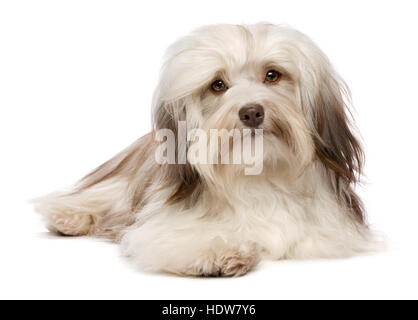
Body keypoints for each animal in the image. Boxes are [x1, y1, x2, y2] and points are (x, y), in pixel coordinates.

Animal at [34, 23, 378, 276]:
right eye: (217, 85)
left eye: (272, 75)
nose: (252, 112)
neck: (258, 174)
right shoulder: (162, 227)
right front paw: (221, 252)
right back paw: (69, 218)